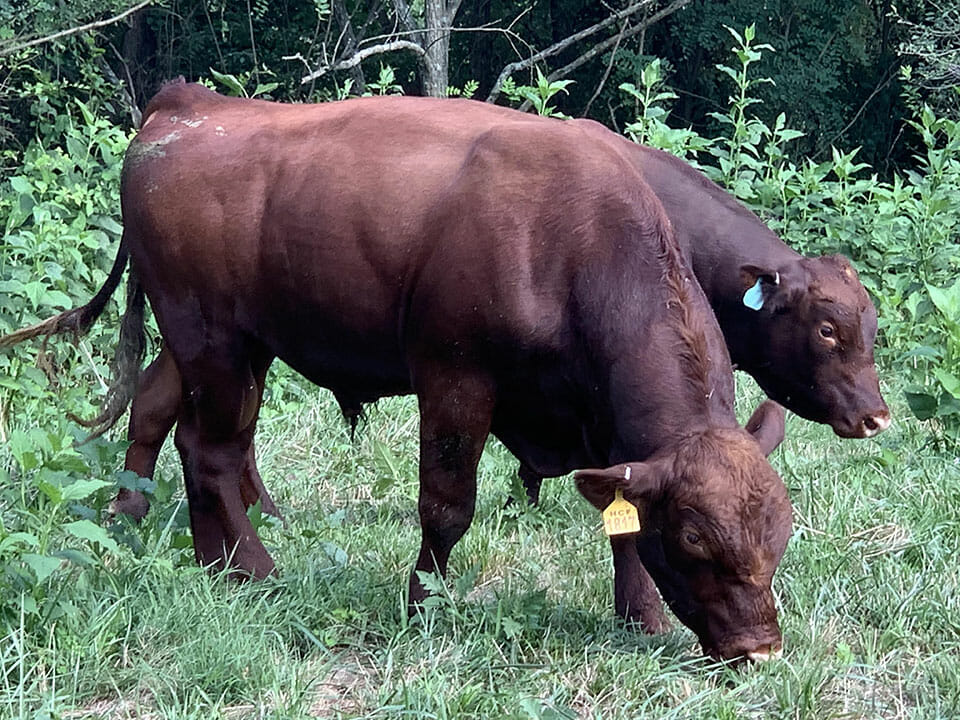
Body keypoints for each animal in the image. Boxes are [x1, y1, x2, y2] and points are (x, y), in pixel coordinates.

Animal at [1, 84, 796, 660]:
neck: (573, 242)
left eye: (780, 534)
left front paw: (641, 617)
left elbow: (621, 523)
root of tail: (188, 104)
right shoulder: (455, 377)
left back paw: (213, 562)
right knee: (213, 450)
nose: (758, 648)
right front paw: (424, 605)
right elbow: (447, 505)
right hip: (210, 340)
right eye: (694, 538)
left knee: (190, 435)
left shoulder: (606, 421)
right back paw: (255, 570)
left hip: (239, 345)